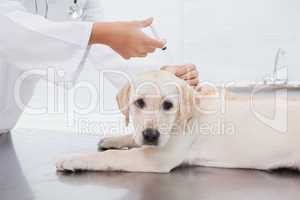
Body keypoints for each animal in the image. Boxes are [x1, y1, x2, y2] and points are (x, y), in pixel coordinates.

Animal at [56, 70, 300, 172]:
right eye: (139, 103)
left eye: (168, 106)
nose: (151, 135)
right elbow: (132, 138)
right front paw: (114, 139)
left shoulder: (157, 158)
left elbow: (114, 157)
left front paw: (73, 159)